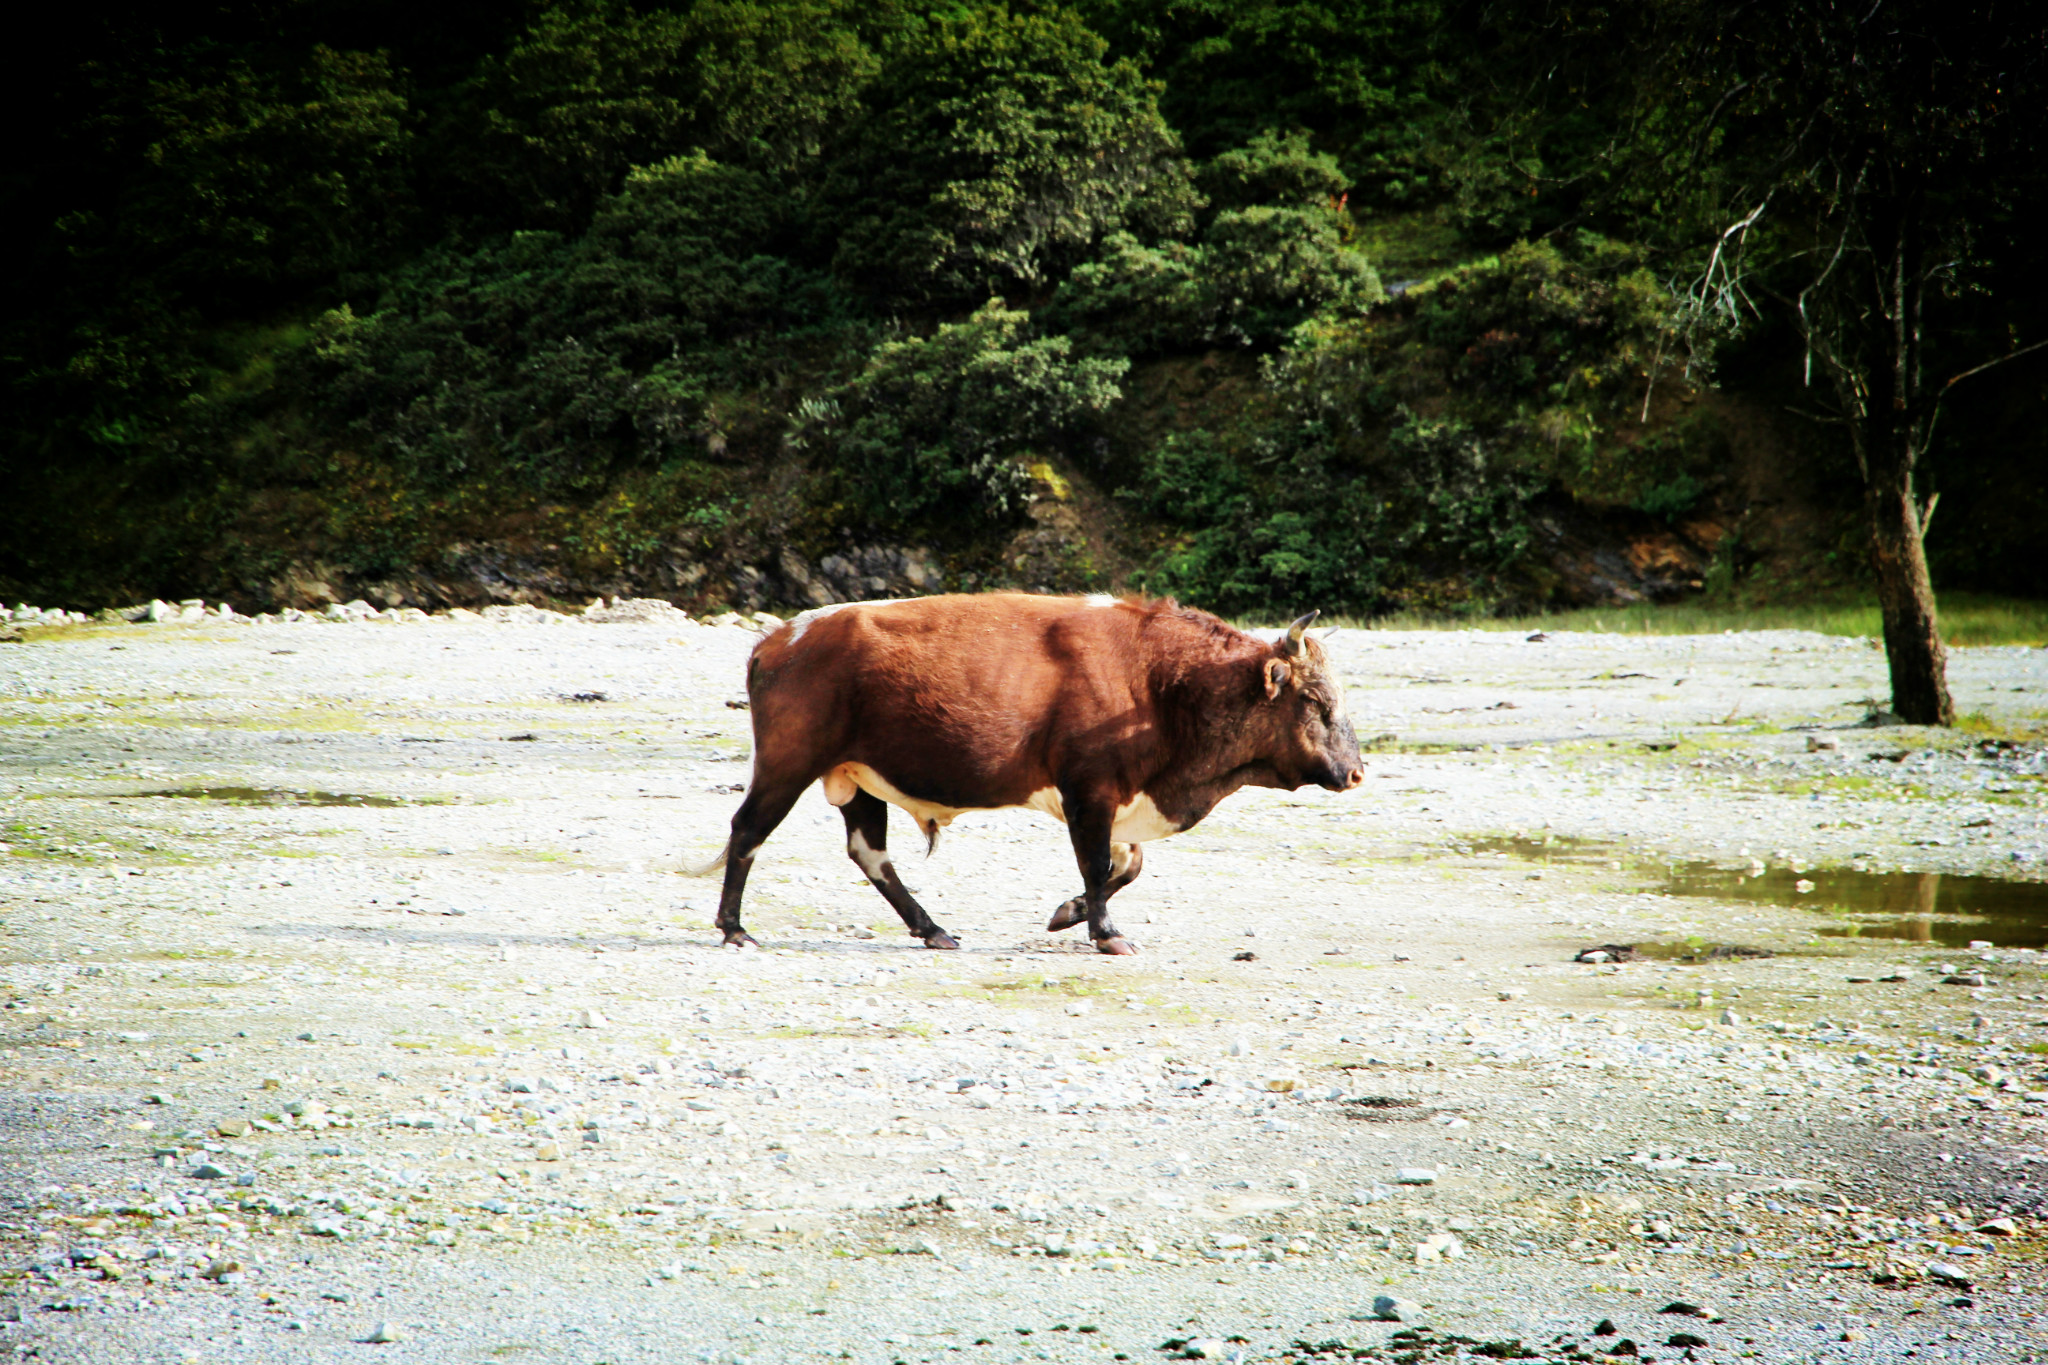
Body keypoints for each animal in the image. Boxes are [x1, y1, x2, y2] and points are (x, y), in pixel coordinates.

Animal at [700, 593, 1359, 957]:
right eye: (1317, 702)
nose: (1355, 772)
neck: (1157, 682)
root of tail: (782, 636)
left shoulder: (1119, 801)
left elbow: (1126, 866)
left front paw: (1069, 913)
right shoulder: (1088, 791)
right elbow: (1097, 864)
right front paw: (1106, 933)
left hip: (858, 780)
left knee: (870, 854)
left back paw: (932, 929)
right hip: (787, 765)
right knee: (748, 830)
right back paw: (735, 929)